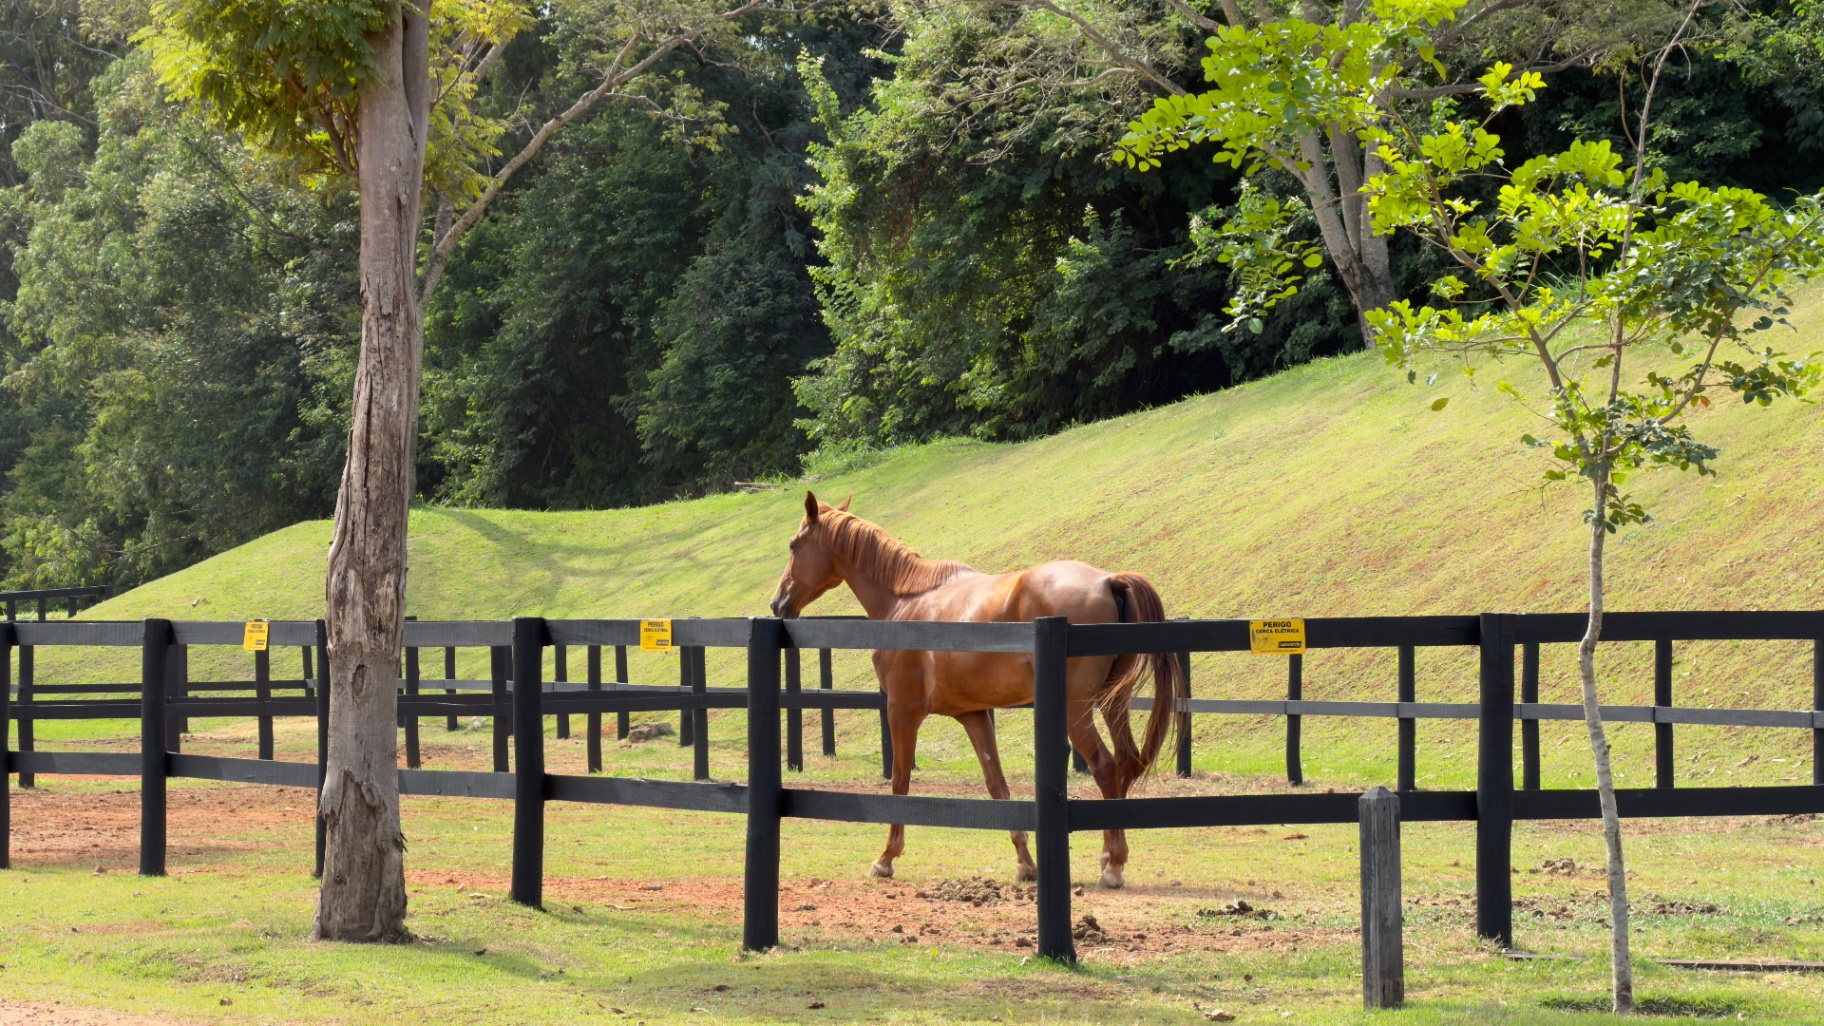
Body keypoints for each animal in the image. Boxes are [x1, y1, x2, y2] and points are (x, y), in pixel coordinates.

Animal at [768, 492, 1186, 889]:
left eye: (793, 545)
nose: (777, 603)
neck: (905, 602)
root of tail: (1107, 580)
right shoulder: (973, 715)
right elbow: (997, 785)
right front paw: (1025, 864)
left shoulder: (902, 711)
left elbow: (900, 782)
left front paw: (886, 858)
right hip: (1112, 704)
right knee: (1126, 763)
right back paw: (1108, 855)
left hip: (1077, 711)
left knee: (1106, 767)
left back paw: (1113, 866)